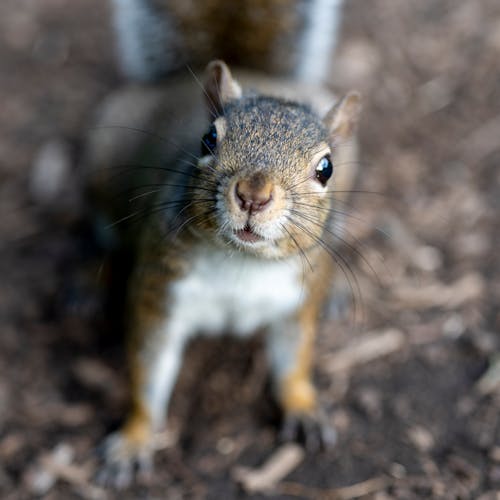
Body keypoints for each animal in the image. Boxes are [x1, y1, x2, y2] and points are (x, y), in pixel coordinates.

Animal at [85, 0, 360, 488]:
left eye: (327, 168)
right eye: (208, 138)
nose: (253, 195)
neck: (242, 264)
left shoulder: (296, 301)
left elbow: (294, 358)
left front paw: (304, 406)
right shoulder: (160, 292)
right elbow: (149, 370)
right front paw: (134, 438)